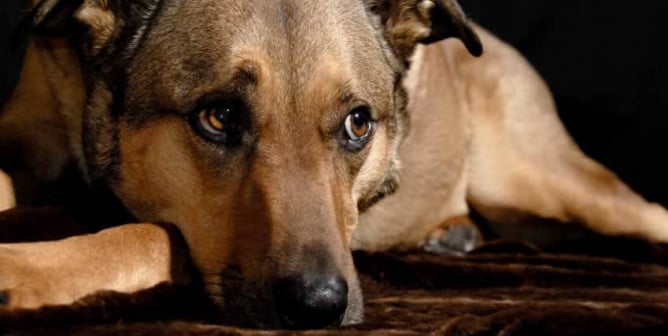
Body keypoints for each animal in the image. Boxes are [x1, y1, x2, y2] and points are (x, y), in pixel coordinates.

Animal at [1, 0, 668, 330]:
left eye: (358, 123)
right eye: (219, 115)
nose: (318, 306)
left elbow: (142, 233)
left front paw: (25, 268)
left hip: (544, 182)